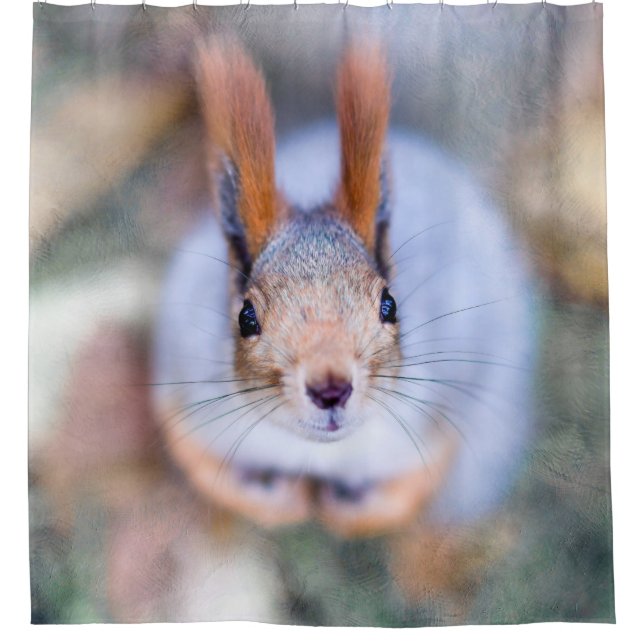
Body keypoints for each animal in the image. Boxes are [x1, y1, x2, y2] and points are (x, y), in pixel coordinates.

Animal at [151, 38, 537, 539]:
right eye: (246, 317)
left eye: (390, 304)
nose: (330, 389)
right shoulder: (184, 390)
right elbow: (198, 464)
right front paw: (281, 500)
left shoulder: (447, 408)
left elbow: (416, 485)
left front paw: (347, 509)